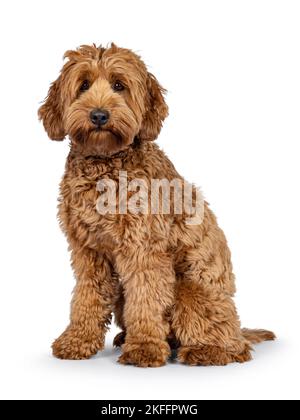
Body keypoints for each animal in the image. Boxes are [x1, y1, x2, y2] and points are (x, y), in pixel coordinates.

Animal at [38, 43, 276, 368]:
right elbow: (87, 296)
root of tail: (238, 329)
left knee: (234, 348)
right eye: (83, 85)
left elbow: (146, 298)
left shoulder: (144, 249)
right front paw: (78, 340)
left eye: (119, 85)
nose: (98, 115)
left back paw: (205, 350)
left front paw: (145, 348)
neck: (105, 165)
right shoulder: (88, 251)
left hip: (192, 293)